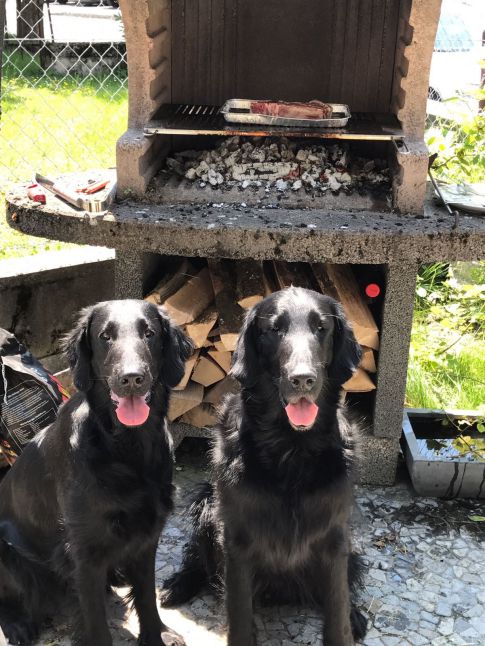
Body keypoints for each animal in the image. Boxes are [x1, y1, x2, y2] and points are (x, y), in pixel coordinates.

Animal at [0, 300, 193, 646]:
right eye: (105, 336)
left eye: (150, 333)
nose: (131, 378)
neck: (126, 447)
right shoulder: (84, 551)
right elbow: (95, 620)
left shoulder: (148, 533)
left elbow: (146, 596)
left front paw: (156, 635)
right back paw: (18, 625)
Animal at [161, 287, 368, 646]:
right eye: (274, 329)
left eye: (321, 328)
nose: (303, 380)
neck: (291, 450)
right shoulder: (237, 539)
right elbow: (240, 614)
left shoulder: (334, 535)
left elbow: (338, 605)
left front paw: (347, 619)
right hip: (206, 503)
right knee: (197, 559)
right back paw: (178, 585)